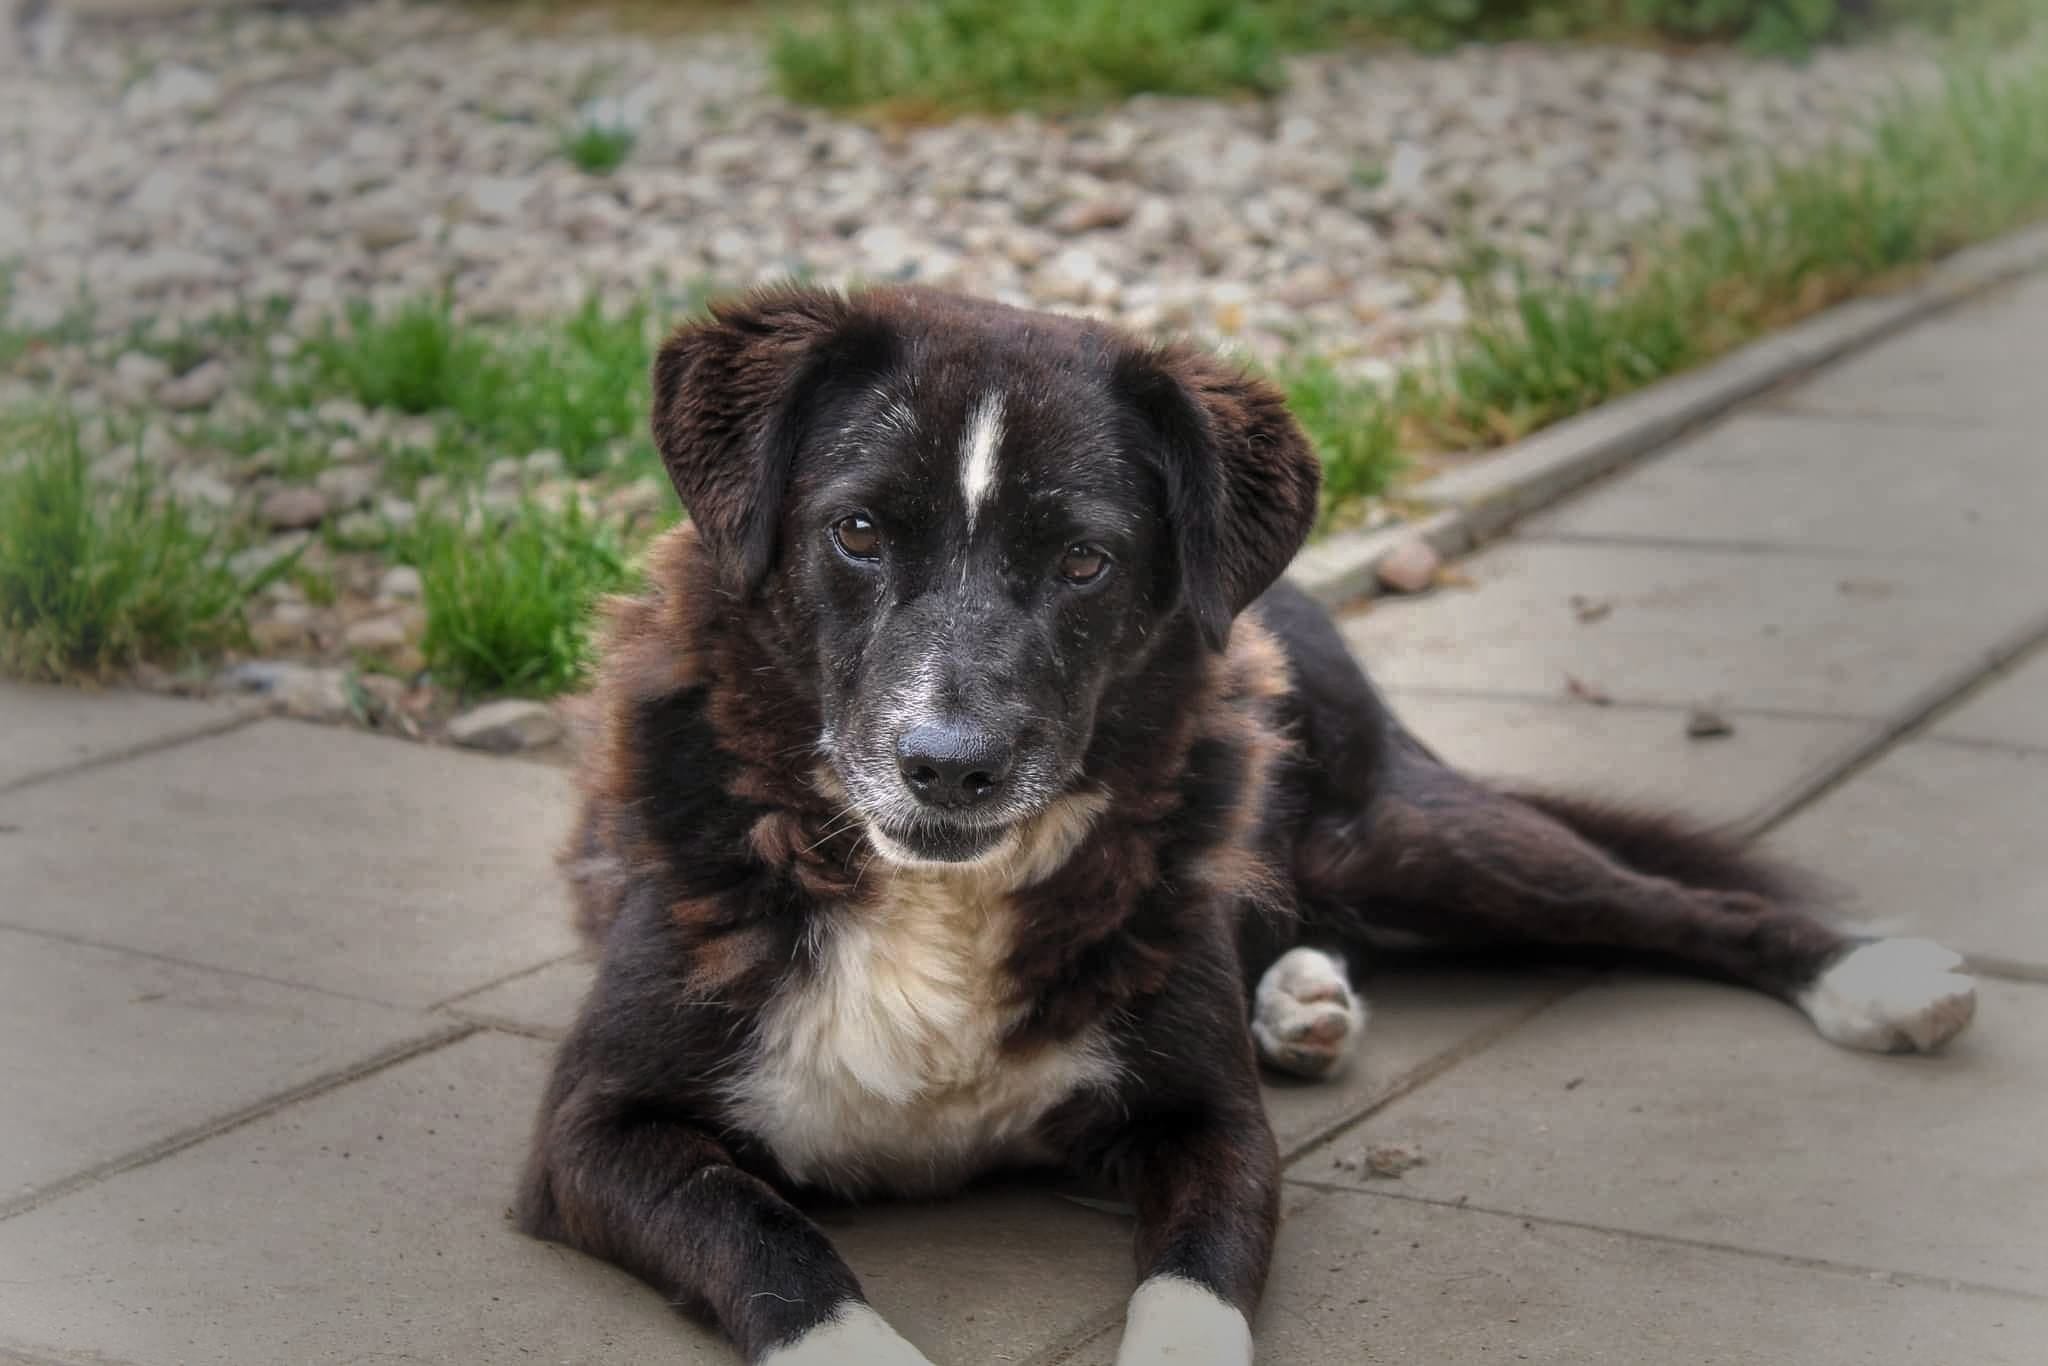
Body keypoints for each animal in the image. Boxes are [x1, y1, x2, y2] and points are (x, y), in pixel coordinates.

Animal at [516, 284, 1979, 1365]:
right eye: (859, 530)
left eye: (1086, 560)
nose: (949, 768)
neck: (936, 900)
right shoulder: (590, 1137)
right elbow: (778, 1249)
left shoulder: (1215, 1123)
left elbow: (1194, 1284)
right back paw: (1303, 1000)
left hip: (1405, 841)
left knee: (1675, 904)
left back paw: (1873, 979)